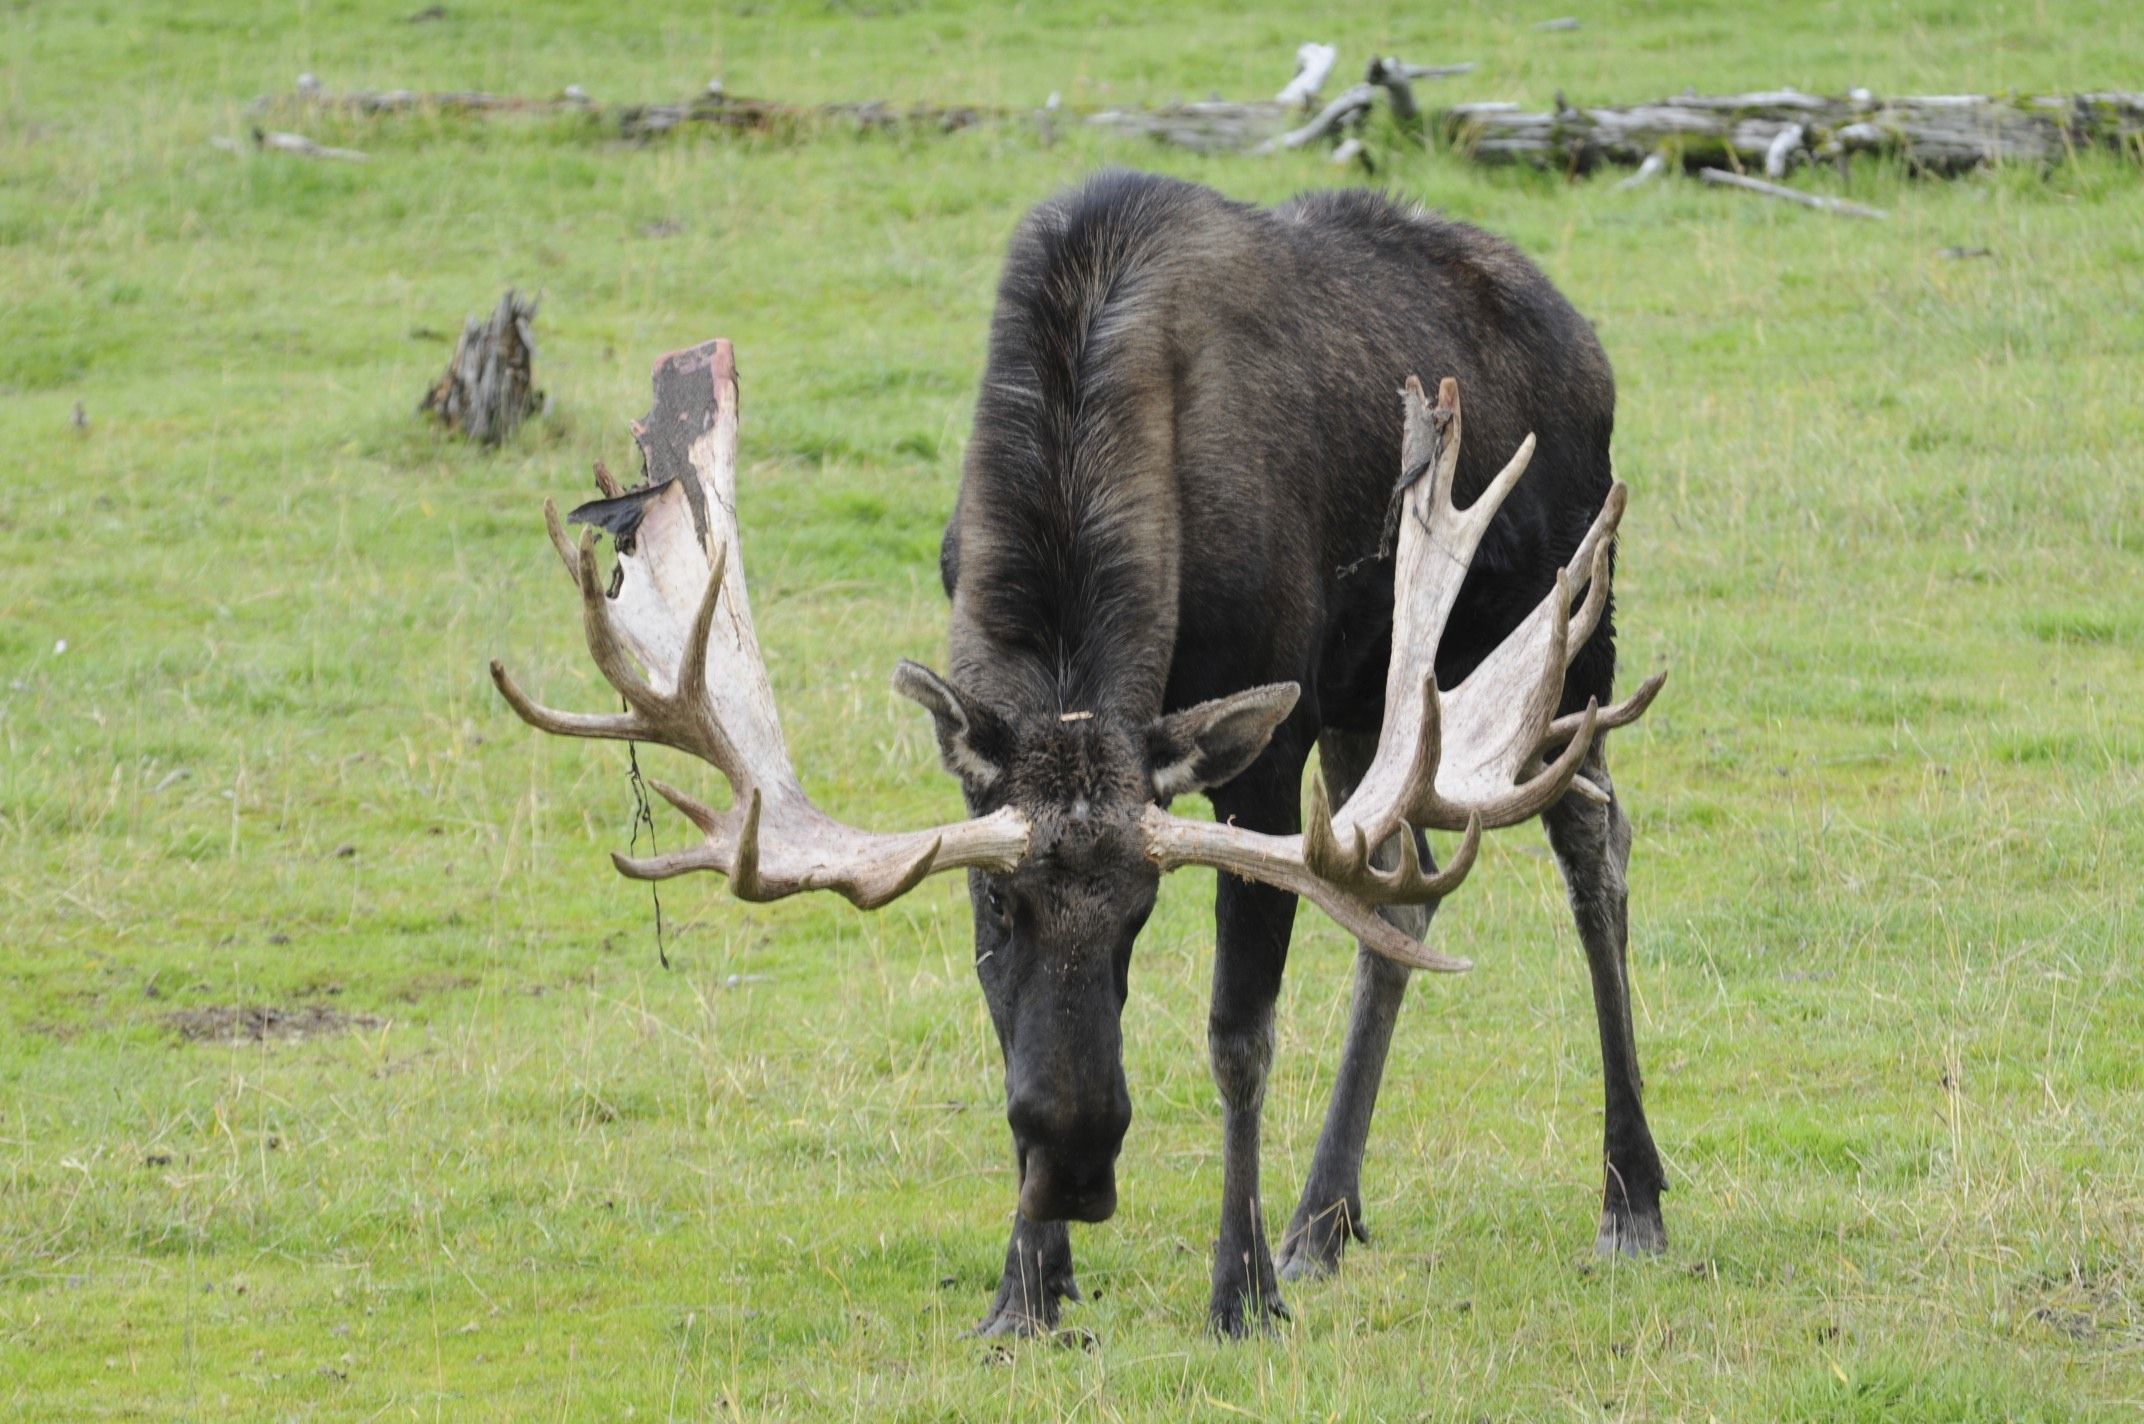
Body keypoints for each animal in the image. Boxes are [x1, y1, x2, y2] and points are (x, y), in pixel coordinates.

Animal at [493, 172, 1663, 1338]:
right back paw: (1323, 1218)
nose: (1079, 1168)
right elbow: (1000, 1015)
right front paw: (1027, 1291)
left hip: (1557, 636)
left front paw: (1240, 1289)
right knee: (1401, 888)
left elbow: (1238, 1031)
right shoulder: (990, 784)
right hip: (1378, 697)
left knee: (1592, 842)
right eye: (1004, 907)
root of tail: (1590, 346)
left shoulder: (1263, 751)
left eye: (1144, 907)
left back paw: (1629, 1198)